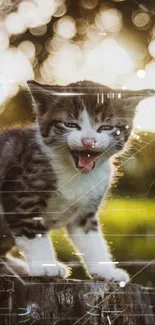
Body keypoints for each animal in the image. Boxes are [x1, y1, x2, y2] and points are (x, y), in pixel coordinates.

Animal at [0, 81, 152, 280]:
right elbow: (32, 232)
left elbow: (92, 240)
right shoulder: (22, 194)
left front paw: (105, 271)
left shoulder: (86, 210)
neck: (76, 173)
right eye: (70, 125)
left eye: (105, 127)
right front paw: (45, 265)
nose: (88, 141)